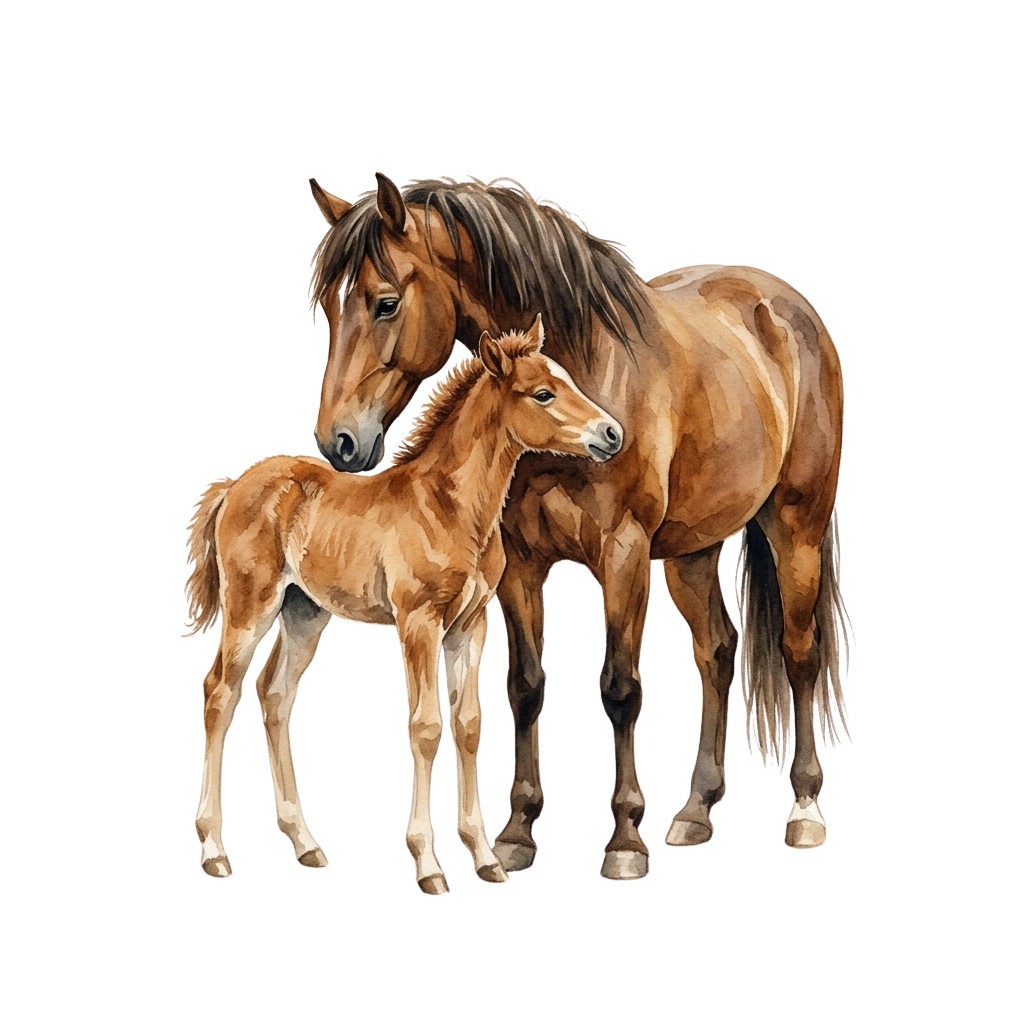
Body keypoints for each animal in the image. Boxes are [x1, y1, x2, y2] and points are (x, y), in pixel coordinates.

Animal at [185, 317, 624, 892]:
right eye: (543, 393)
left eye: (568, 379)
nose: (612, 434)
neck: (451, 507)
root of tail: (237, 483)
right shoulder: (418, 623)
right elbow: (425, 726)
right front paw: (429, 865)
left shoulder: (470, 626)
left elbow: (469, 725)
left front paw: (485, 858)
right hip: (249, 606)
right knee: (221, 692)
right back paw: (214, 851)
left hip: (304, 613)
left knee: (274, 694)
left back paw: (306, 844)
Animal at [306, 173, 853, 879]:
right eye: (327, 308)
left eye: (386, 303)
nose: (339, 442)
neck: (591, 366)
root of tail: (784, 306)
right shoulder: (520, 564)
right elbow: (526, 686)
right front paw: (516, 832)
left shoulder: (622, 554)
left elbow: (621, 687)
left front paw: (624, 840)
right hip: (692, 552)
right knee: (716, 652)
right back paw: (695, 811)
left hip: (796, 528)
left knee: (799, 651)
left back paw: (804, 810)